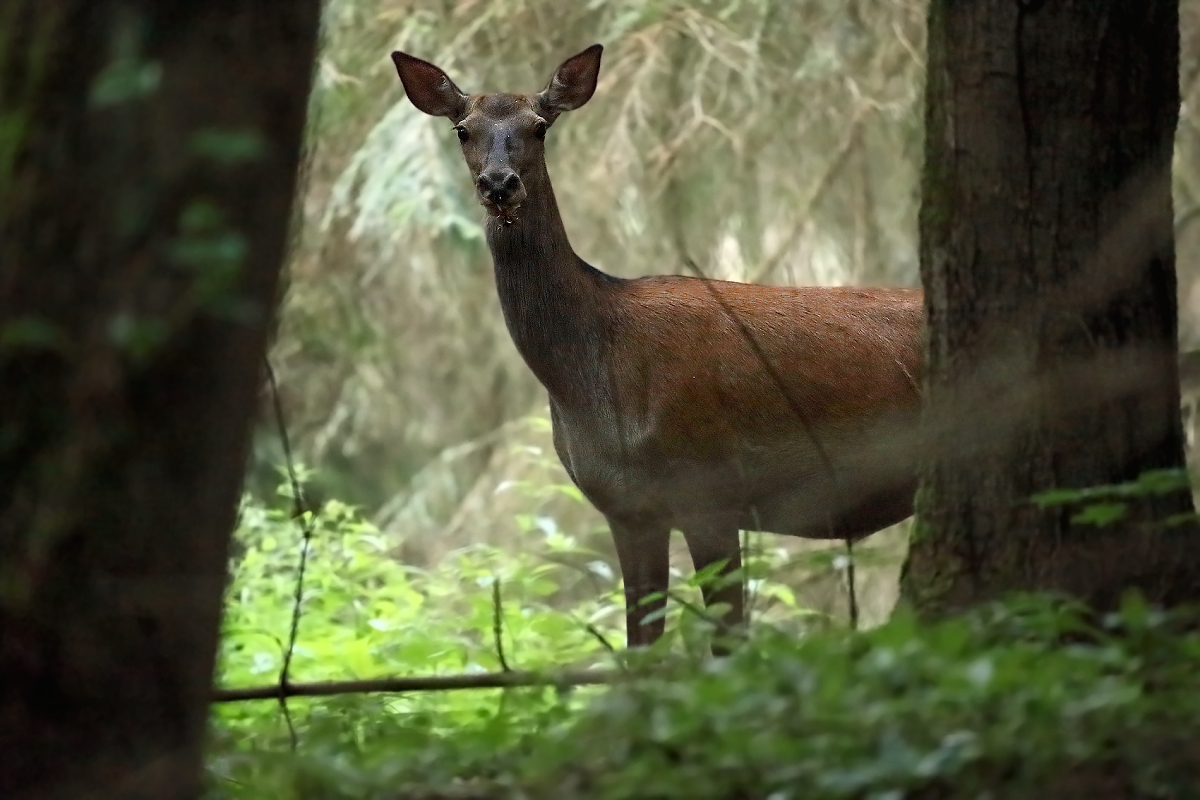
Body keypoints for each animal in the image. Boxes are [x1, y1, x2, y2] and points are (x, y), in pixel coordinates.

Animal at [388, 43, 921, 652]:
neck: (591, 379)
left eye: (540, 125)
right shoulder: (628, 511)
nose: (499, 185)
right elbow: (639, 647)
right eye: (463, 129)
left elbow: (728, 641)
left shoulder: (710, 491)